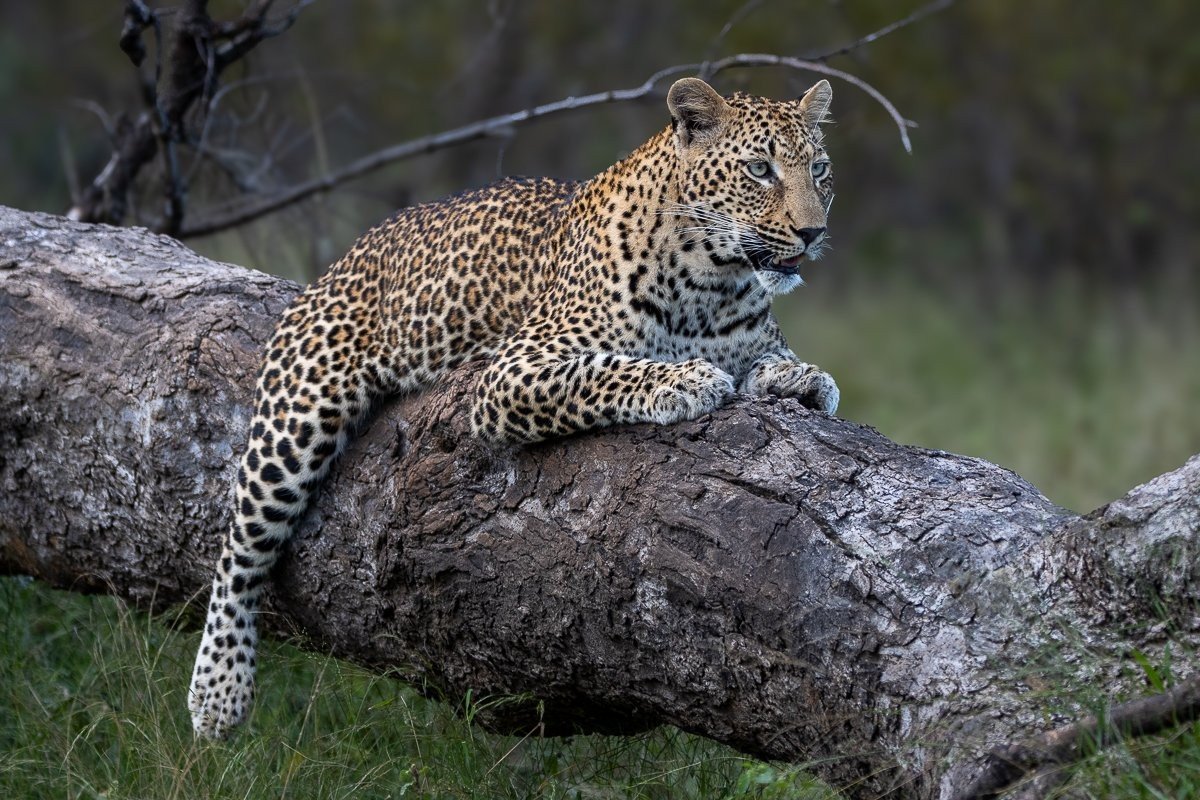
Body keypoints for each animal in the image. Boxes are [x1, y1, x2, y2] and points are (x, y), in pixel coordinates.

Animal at [189, 77, 841, 739]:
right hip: (300, 414)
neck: (713, 281)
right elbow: (605, 372)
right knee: (240, 547)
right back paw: (217, 694)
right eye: (759, 169)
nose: (813, 234)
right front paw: (684, 380)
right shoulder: (514, 370)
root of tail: (350, 255)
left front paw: (803, 380)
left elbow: (774, 361)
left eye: (819, 169)